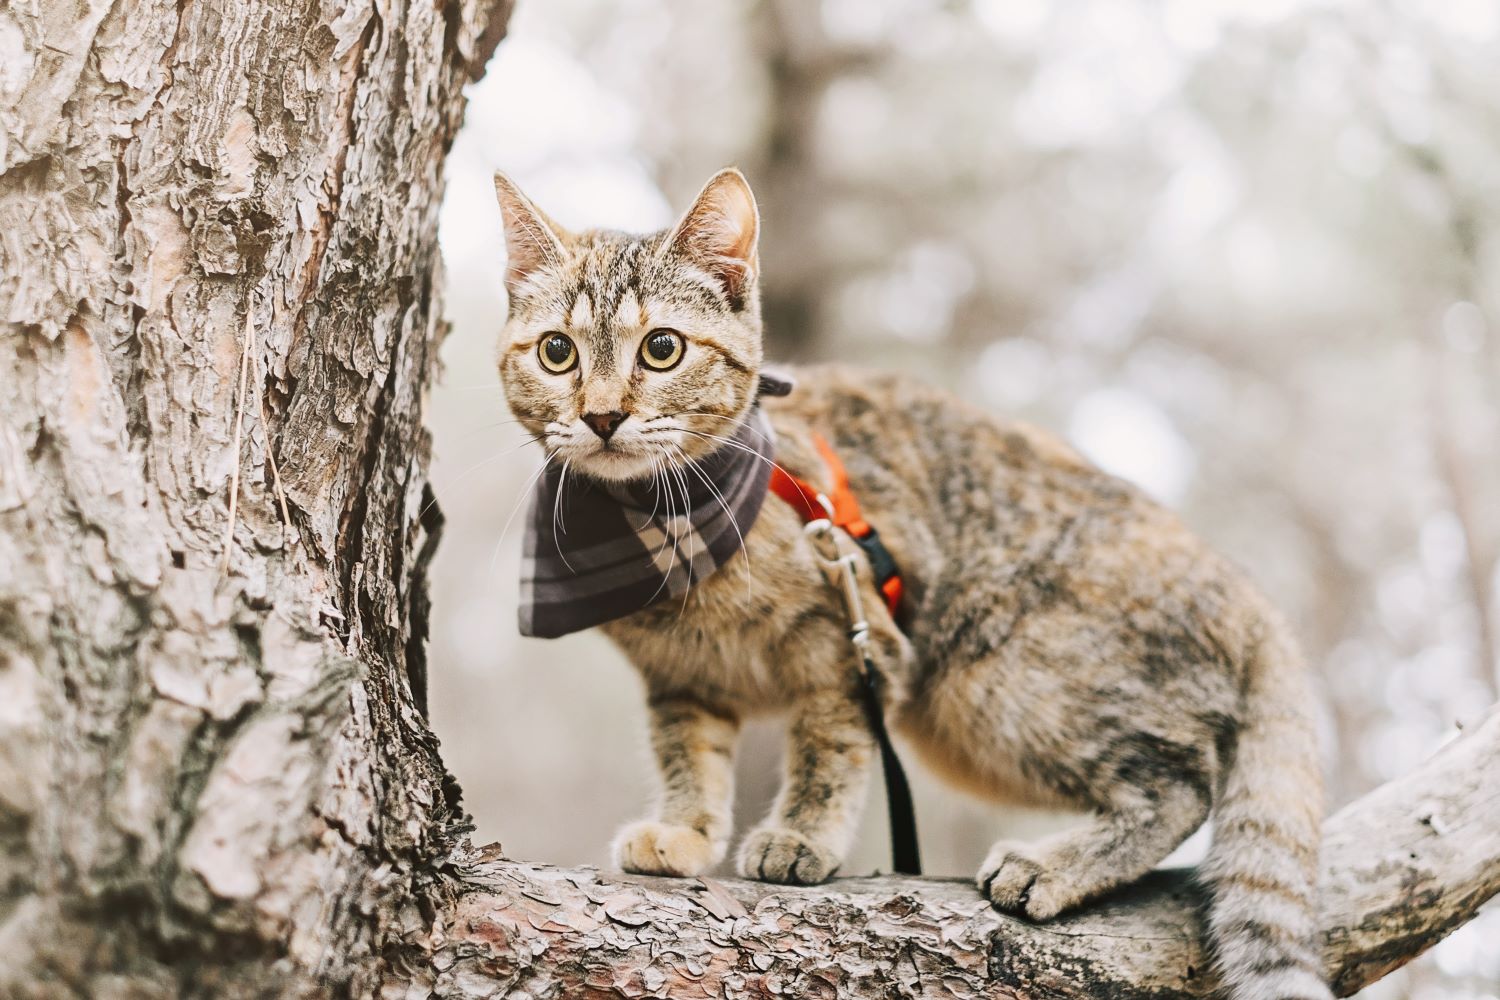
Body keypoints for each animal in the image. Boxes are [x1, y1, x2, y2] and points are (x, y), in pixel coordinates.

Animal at [489, 166, 1326, 1000]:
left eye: (661, 348)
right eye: (557, 353)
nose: (602, 415)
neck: (666, 527)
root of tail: (1245, 593)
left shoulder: (852, 642)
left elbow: (830, 746)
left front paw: (800, 834)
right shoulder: (682, 679)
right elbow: (688, 756)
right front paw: (686, 830)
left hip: (1003, 685)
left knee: (1183, 781)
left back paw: (1050, 864)